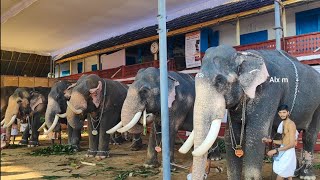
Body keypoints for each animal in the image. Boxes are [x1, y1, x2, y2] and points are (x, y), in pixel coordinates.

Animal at [180, 45, 320, 180]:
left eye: (220, 80)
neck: (243, 56)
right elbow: (231, 136)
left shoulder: (269, 91)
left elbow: (256, 135)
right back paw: (290, 174)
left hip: (317, 107)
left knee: (309, 136)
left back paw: (307, 176)